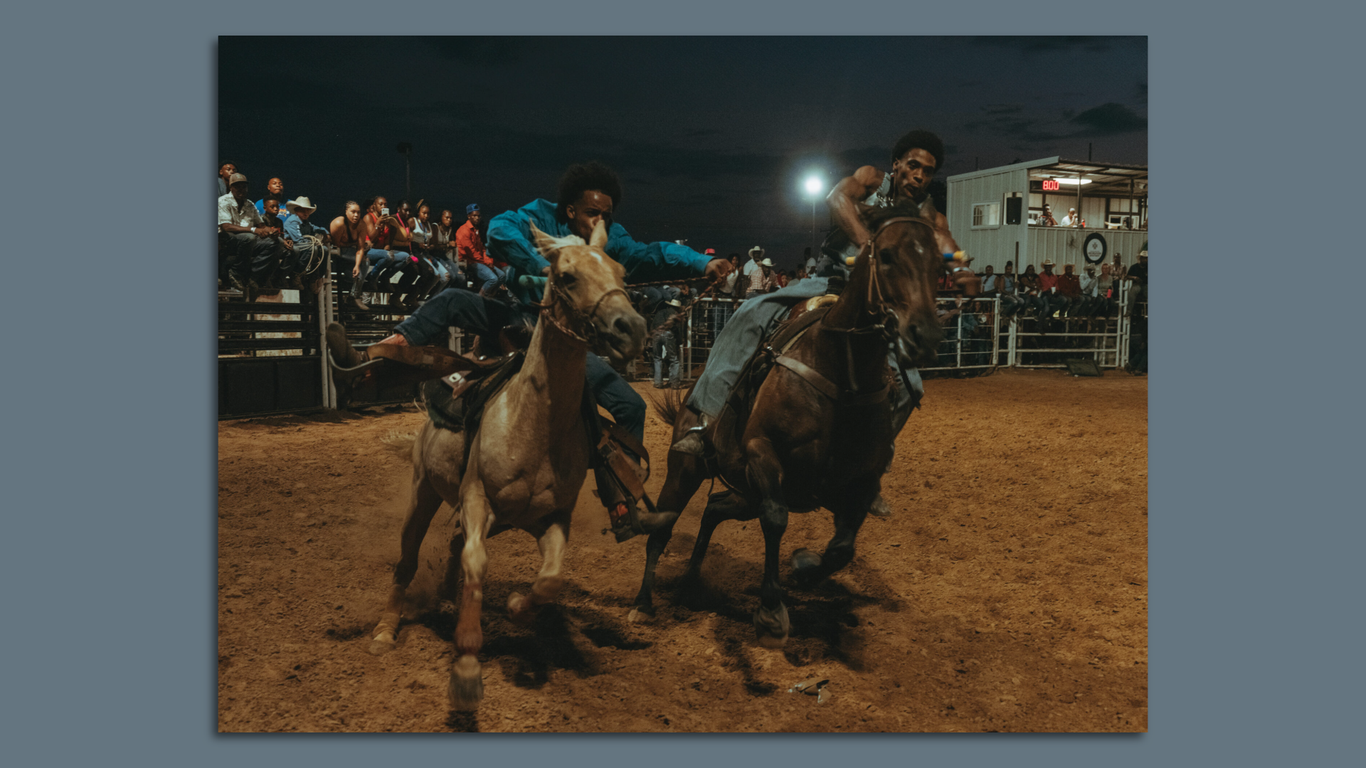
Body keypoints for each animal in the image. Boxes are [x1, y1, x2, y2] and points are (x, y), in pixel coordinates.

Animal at [368, 220, 644, 705]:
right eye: (567, 276)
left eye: (621, 273)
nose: (631, 327)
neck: (533, 423)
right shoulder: (477, 501)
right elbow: (477, 565)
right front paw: (466, 665)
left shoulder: (553, 518)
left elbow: (549, 579)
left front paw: (516, 607)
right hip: (424, 492)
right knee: (409, 559)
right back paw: (386, 630)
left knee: (455, 544)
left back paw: (447, 597)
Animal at [631, 202, 945, 645]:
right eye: (885, 256)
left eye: (937, 263)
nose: (924, 334)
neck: (839, 373)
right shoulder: (764, 454)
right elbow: (777, 519)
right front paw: (770, 608)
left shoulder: (861, 481)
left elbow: (842, 548)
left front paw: (805, 569)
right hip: (687, 470)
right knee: (663, 527)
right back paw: (643, 603)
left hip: (743, 491)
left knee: (714, 508)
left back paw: (692, 581)